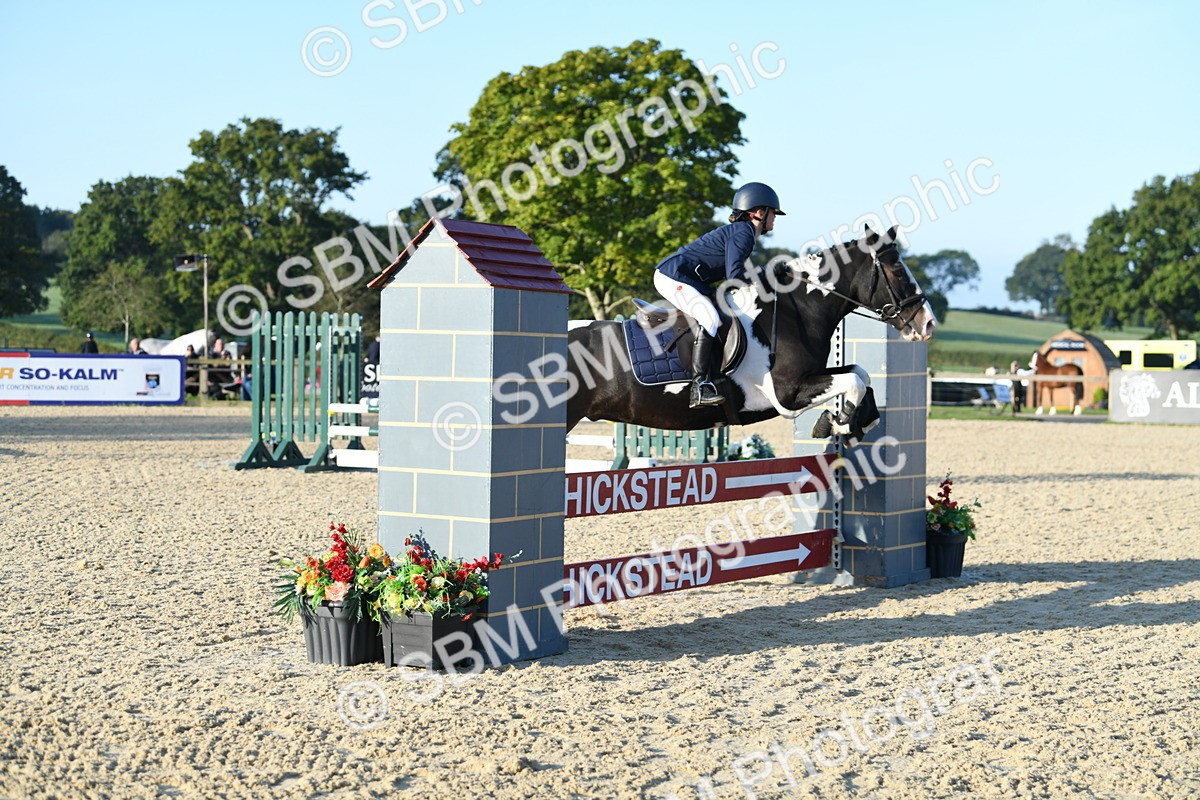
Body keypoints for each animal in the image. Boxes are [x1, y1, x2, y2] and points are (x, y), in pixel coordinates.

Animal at [565, 225, 938, 439]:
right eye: (899, 272)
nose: (928, 324)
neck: (794, 312)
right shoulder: (786, 394)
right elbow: (853, 381)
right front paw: (840, 422)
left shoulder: (812, 376)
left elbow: (860, 374)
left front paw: (853, 419)